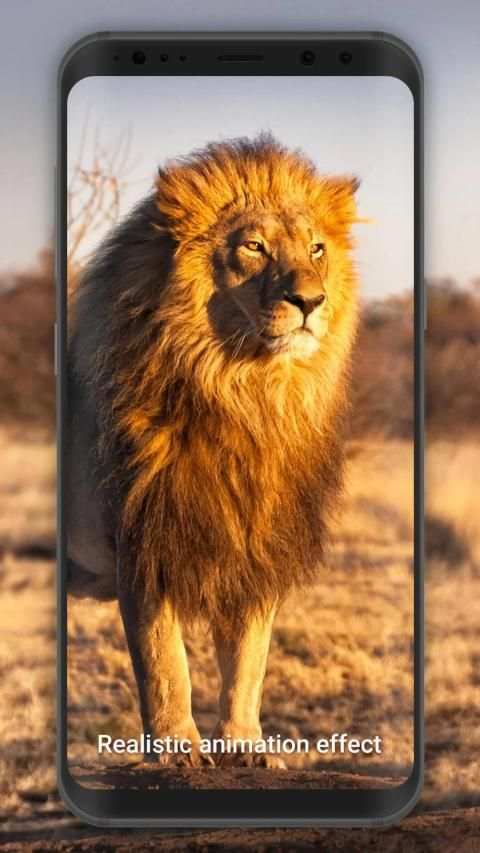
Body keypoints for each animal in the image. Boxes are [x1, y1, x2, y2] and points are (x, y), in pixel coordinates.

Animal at [66, 134, 360, 768]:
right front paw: (177, 747)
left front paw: (245, 744)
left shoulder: (257, 543)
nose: (311, 301)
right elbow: (163, 662)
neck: (243, 396)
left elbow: (249, 660)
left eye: (317, 248)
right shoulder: (142, 539)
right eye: (253, 246)